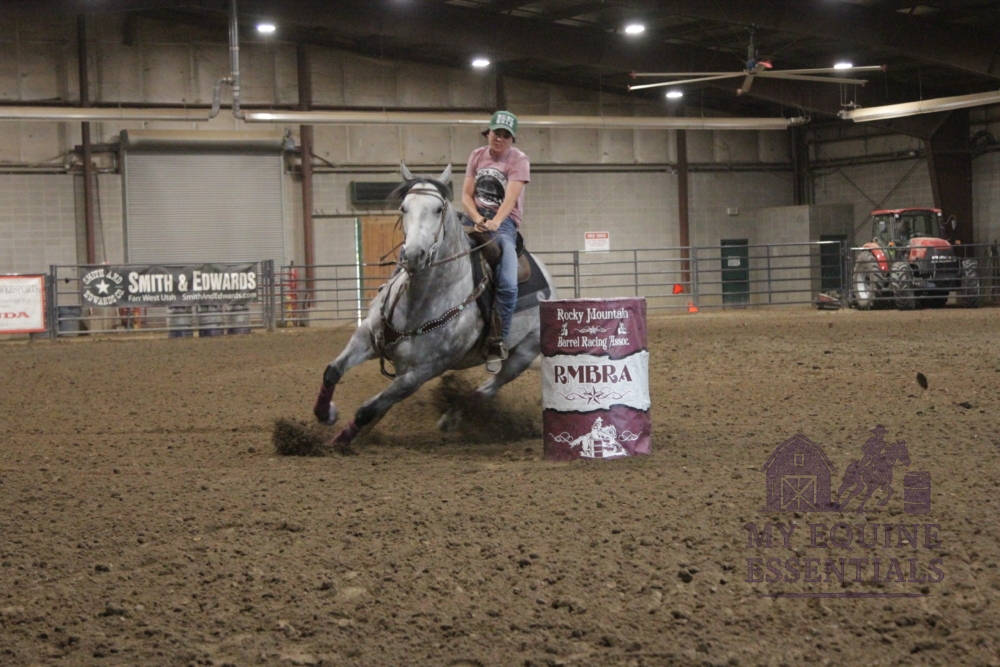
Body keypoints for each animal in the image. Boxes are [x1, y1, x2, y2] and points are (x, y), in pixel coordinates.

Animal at [311, 164, 557, 449]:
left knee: (488, 388)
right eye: (404, 207)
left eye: (439, 209)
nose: (413, 255)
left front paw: (337, 443)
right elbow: (333, 371)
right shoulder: (366, 337)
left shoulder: (420, 374)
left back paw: (451, 418)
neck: (419, 302)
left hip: (523, 354)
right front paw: (326, 414)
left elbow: (366, 410)